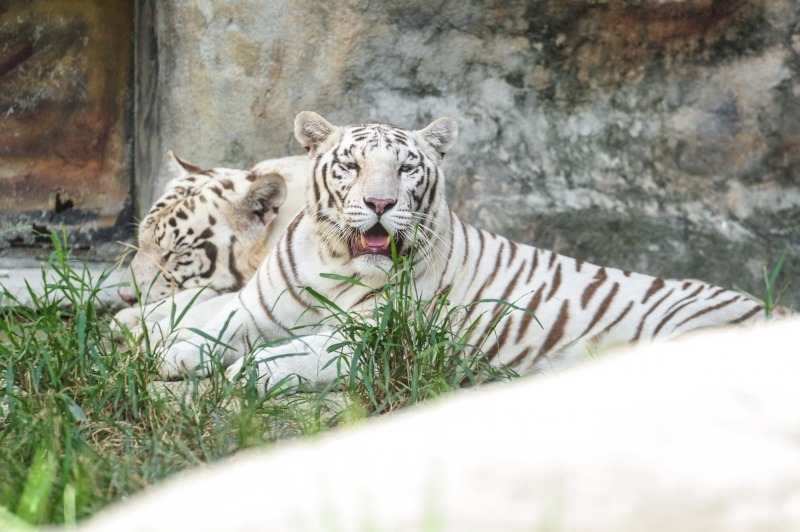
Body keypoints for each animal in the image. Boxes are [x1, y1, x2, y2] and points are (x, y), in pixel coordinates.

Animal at [159, 112, 784, 390]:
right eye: (352, 165)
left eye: (407, 168)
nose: (381, 203)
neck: (334, 262)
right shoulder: (256, 309)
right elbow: (213, 327)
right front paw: (170, 354)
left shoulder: (369, 339)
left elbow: (286, 356)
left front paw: (242, 376)